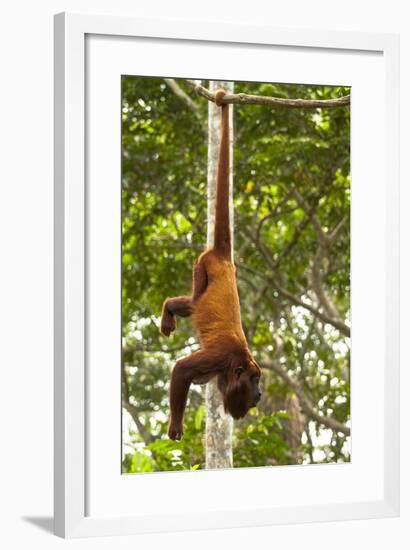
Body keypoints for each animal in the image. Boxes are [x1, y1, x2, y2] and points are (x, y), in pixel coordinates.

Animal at [159, 91, 262, 444]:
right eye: (256, 381)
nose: (260, 395)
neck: (238, 362)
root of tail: (223, 256)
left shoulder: (221, 371)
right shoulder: (222, 358)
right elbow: (181, 369)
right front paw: (176, 425)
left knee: (192, 303)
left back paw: (170, 309)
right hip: (202, 266)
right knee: (194, 297)